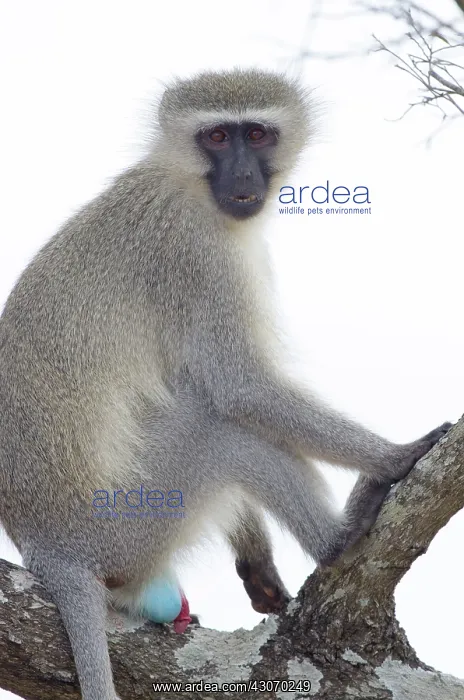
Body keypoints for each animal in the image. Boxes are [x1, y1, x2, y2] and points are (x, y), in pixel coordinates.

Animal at [0, 68, 451, 700]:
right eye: (216, 137)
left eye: (256, 134)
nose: (241, 175)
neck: (184, 183)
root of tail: (47, 550)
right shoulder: (195, 255)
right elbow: (239, 390)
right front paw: (398, 456)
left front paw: (256, 562)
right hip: (125, 520)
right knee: (222, 430)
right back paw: (338, 542)